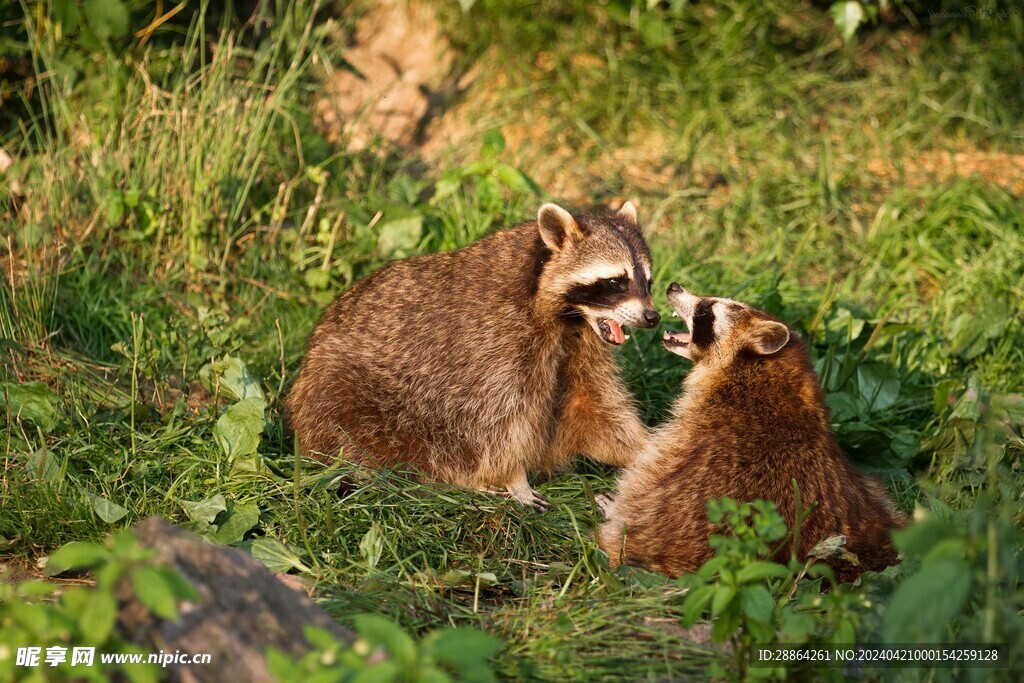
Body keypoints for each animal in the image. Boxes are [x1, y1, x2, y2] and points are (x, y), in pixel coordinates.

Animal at [284, 201, 659, 507]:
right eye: (615, 282)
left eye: (648, 282)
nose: (652, 317)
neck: (569, 320)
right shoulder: (494, 346)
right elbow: (499, 423)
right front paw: (514, 478)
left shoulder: (580, 349)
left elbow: (595, 406)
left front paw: (648, 450)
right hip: (344, 398)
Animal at [598, 282, 905, 581]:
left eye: (707, 310)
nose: (674, 286)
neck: (763, 374)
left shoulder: (683, 445)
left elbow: (638, 487)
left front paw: (614, 509)